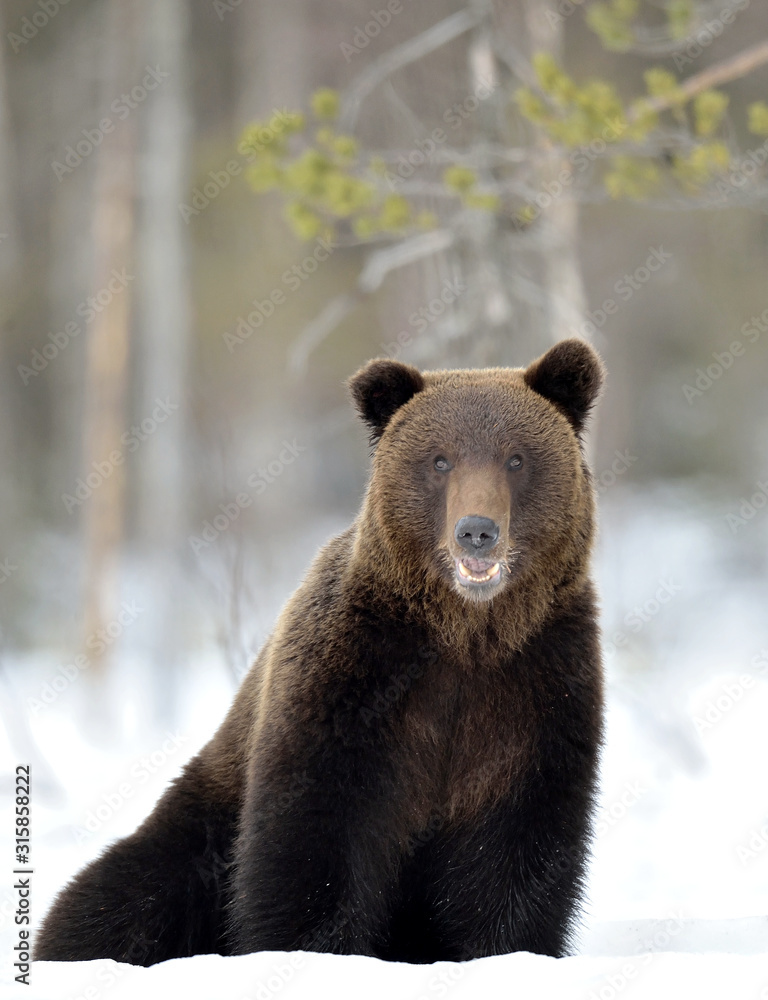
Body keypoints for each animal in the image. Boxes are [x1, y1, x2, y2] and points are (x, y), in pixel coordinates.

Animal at [35, 337, 605, 967]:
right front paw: (312, 952)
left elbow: (516, 849)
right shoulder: (353, 678)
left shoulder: (535, 687)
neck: (465, 634)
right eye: (440, 460)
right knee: (124, 893)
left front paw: (502, 953)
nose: (477, 531)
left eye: (515, 459)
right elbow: (316, 839)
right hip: (199, 824)